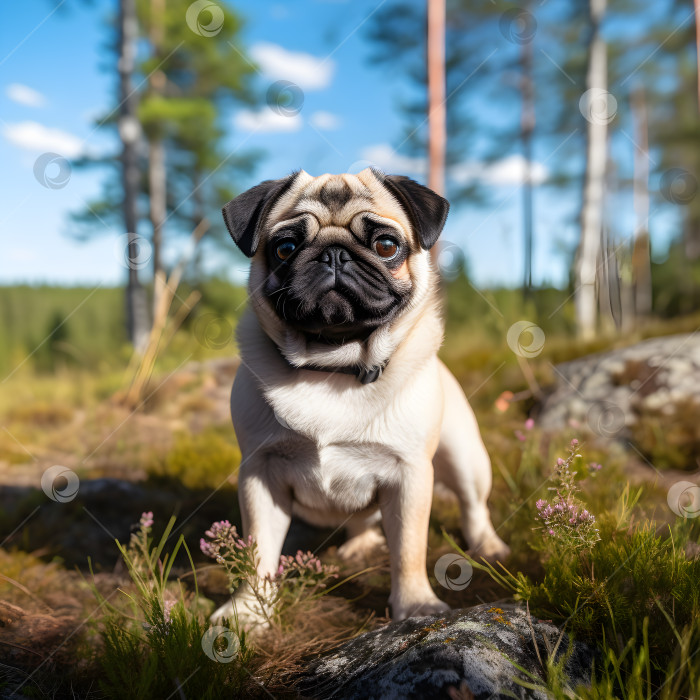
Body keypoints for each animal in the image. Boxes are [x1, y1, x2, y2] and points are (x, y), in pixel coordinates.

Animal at [213, 171, 508, 628]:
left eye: (386, 245)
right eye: (285, 248)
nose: (334, 255)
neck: (333, 369)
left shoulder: (409, 476)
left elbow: (409, 549)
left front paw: (416, 606)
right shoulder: (260, 475)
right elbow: (258, 550)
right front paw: (248, 611)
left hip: (464, 456)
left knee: (473, 505)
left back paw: (487, 545)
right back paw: (358, 543)